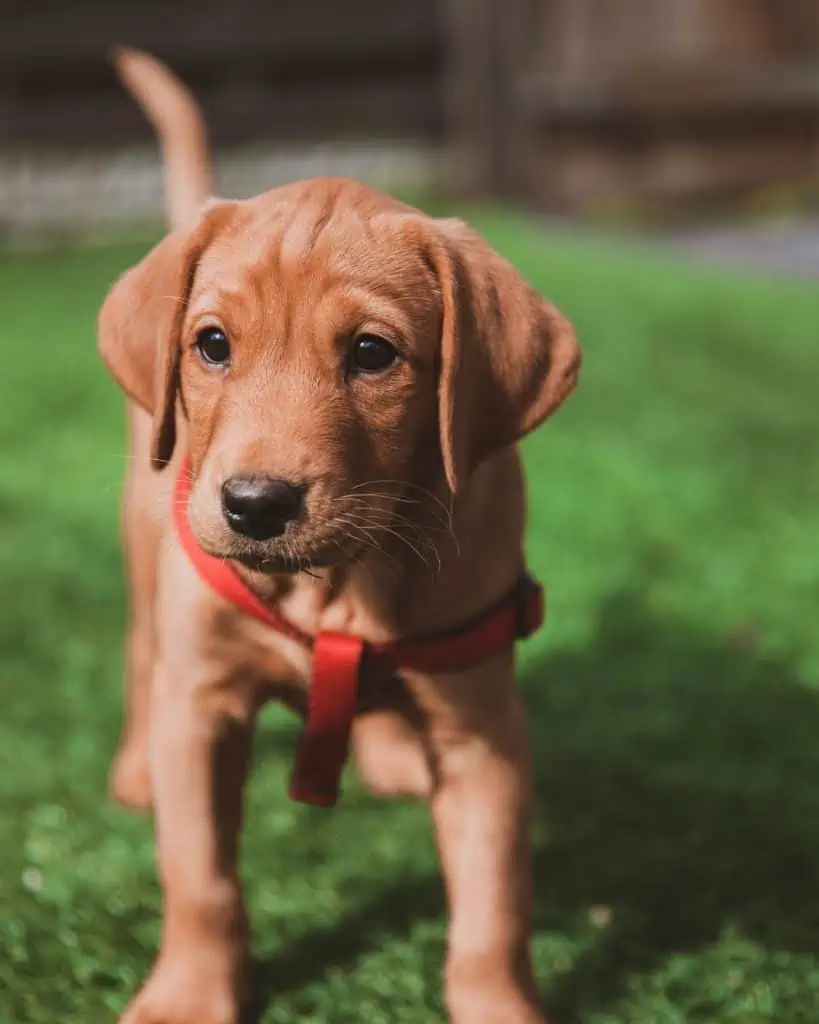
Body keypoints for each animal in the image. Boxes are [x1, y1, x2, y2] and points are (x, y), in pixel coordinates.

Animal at [99, 46, 577, 1024]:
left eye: (371, 354)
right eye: (212, 344)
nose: (254, 504)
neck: (337, 586)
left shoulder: (484, 733)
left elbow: (492, 911)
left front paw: (497, 1004)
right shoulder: (200, 706)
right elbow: (200, 879)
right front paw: (188, 995)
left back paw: (391, 754)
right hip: (144, 545)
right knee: (138, 651)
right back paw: (134, 772)